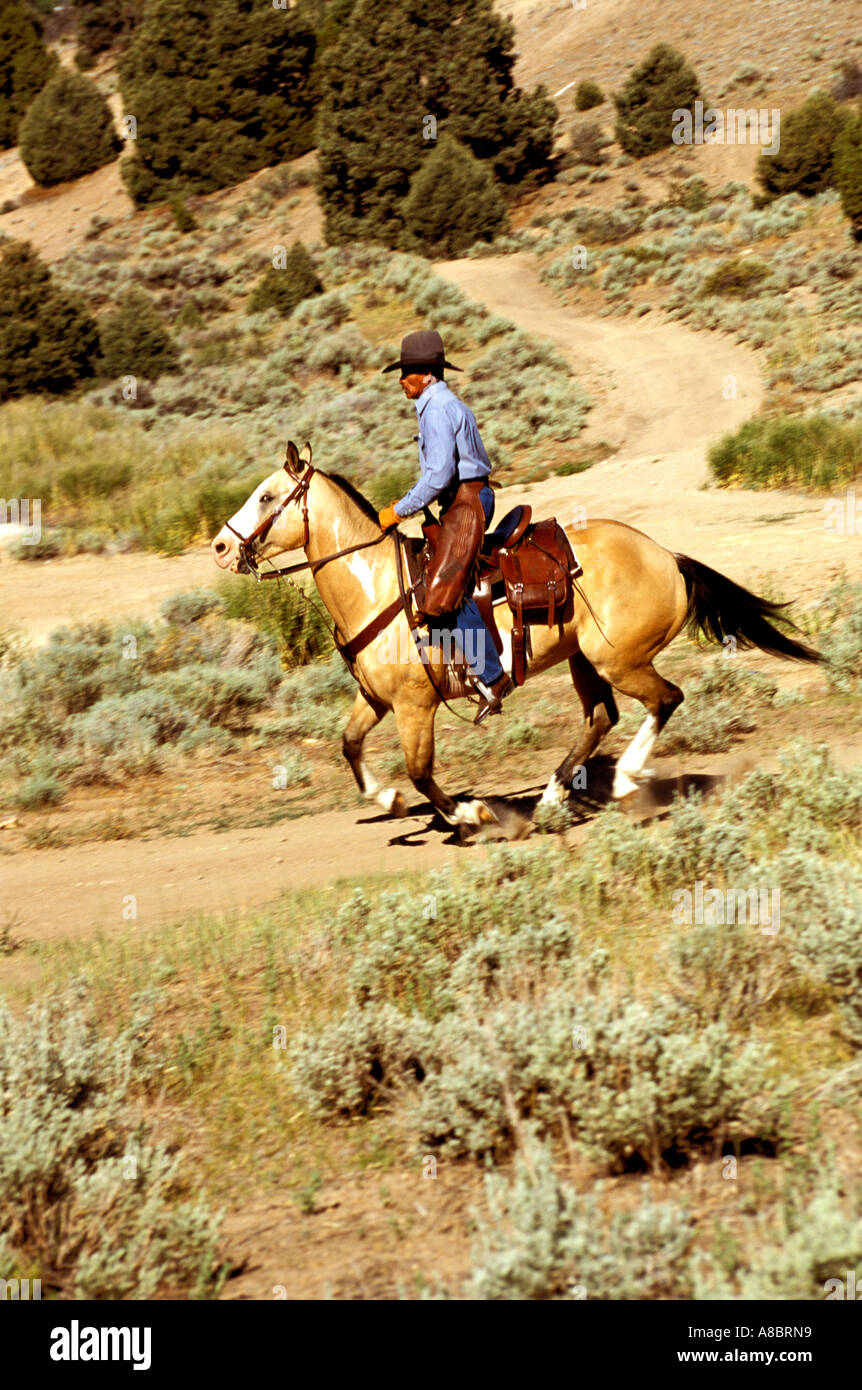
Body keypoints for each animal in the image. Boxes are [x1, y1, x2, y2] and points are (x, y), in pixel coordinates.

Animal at [212, 444, 817, 828]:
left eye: (267, 496)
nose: (220, 547)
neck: (380, 586)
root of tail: (666, 556)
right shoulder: (376, 698)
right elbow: (350, 745)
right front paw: (388, 799)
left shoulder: (414, 706)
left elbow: (421, 771)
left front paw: (469, 812)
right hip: (584, 662)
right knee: (600, 719)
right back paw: (551, 799)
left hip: (621, 661)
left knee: (665, 700)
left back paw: (625, 780)